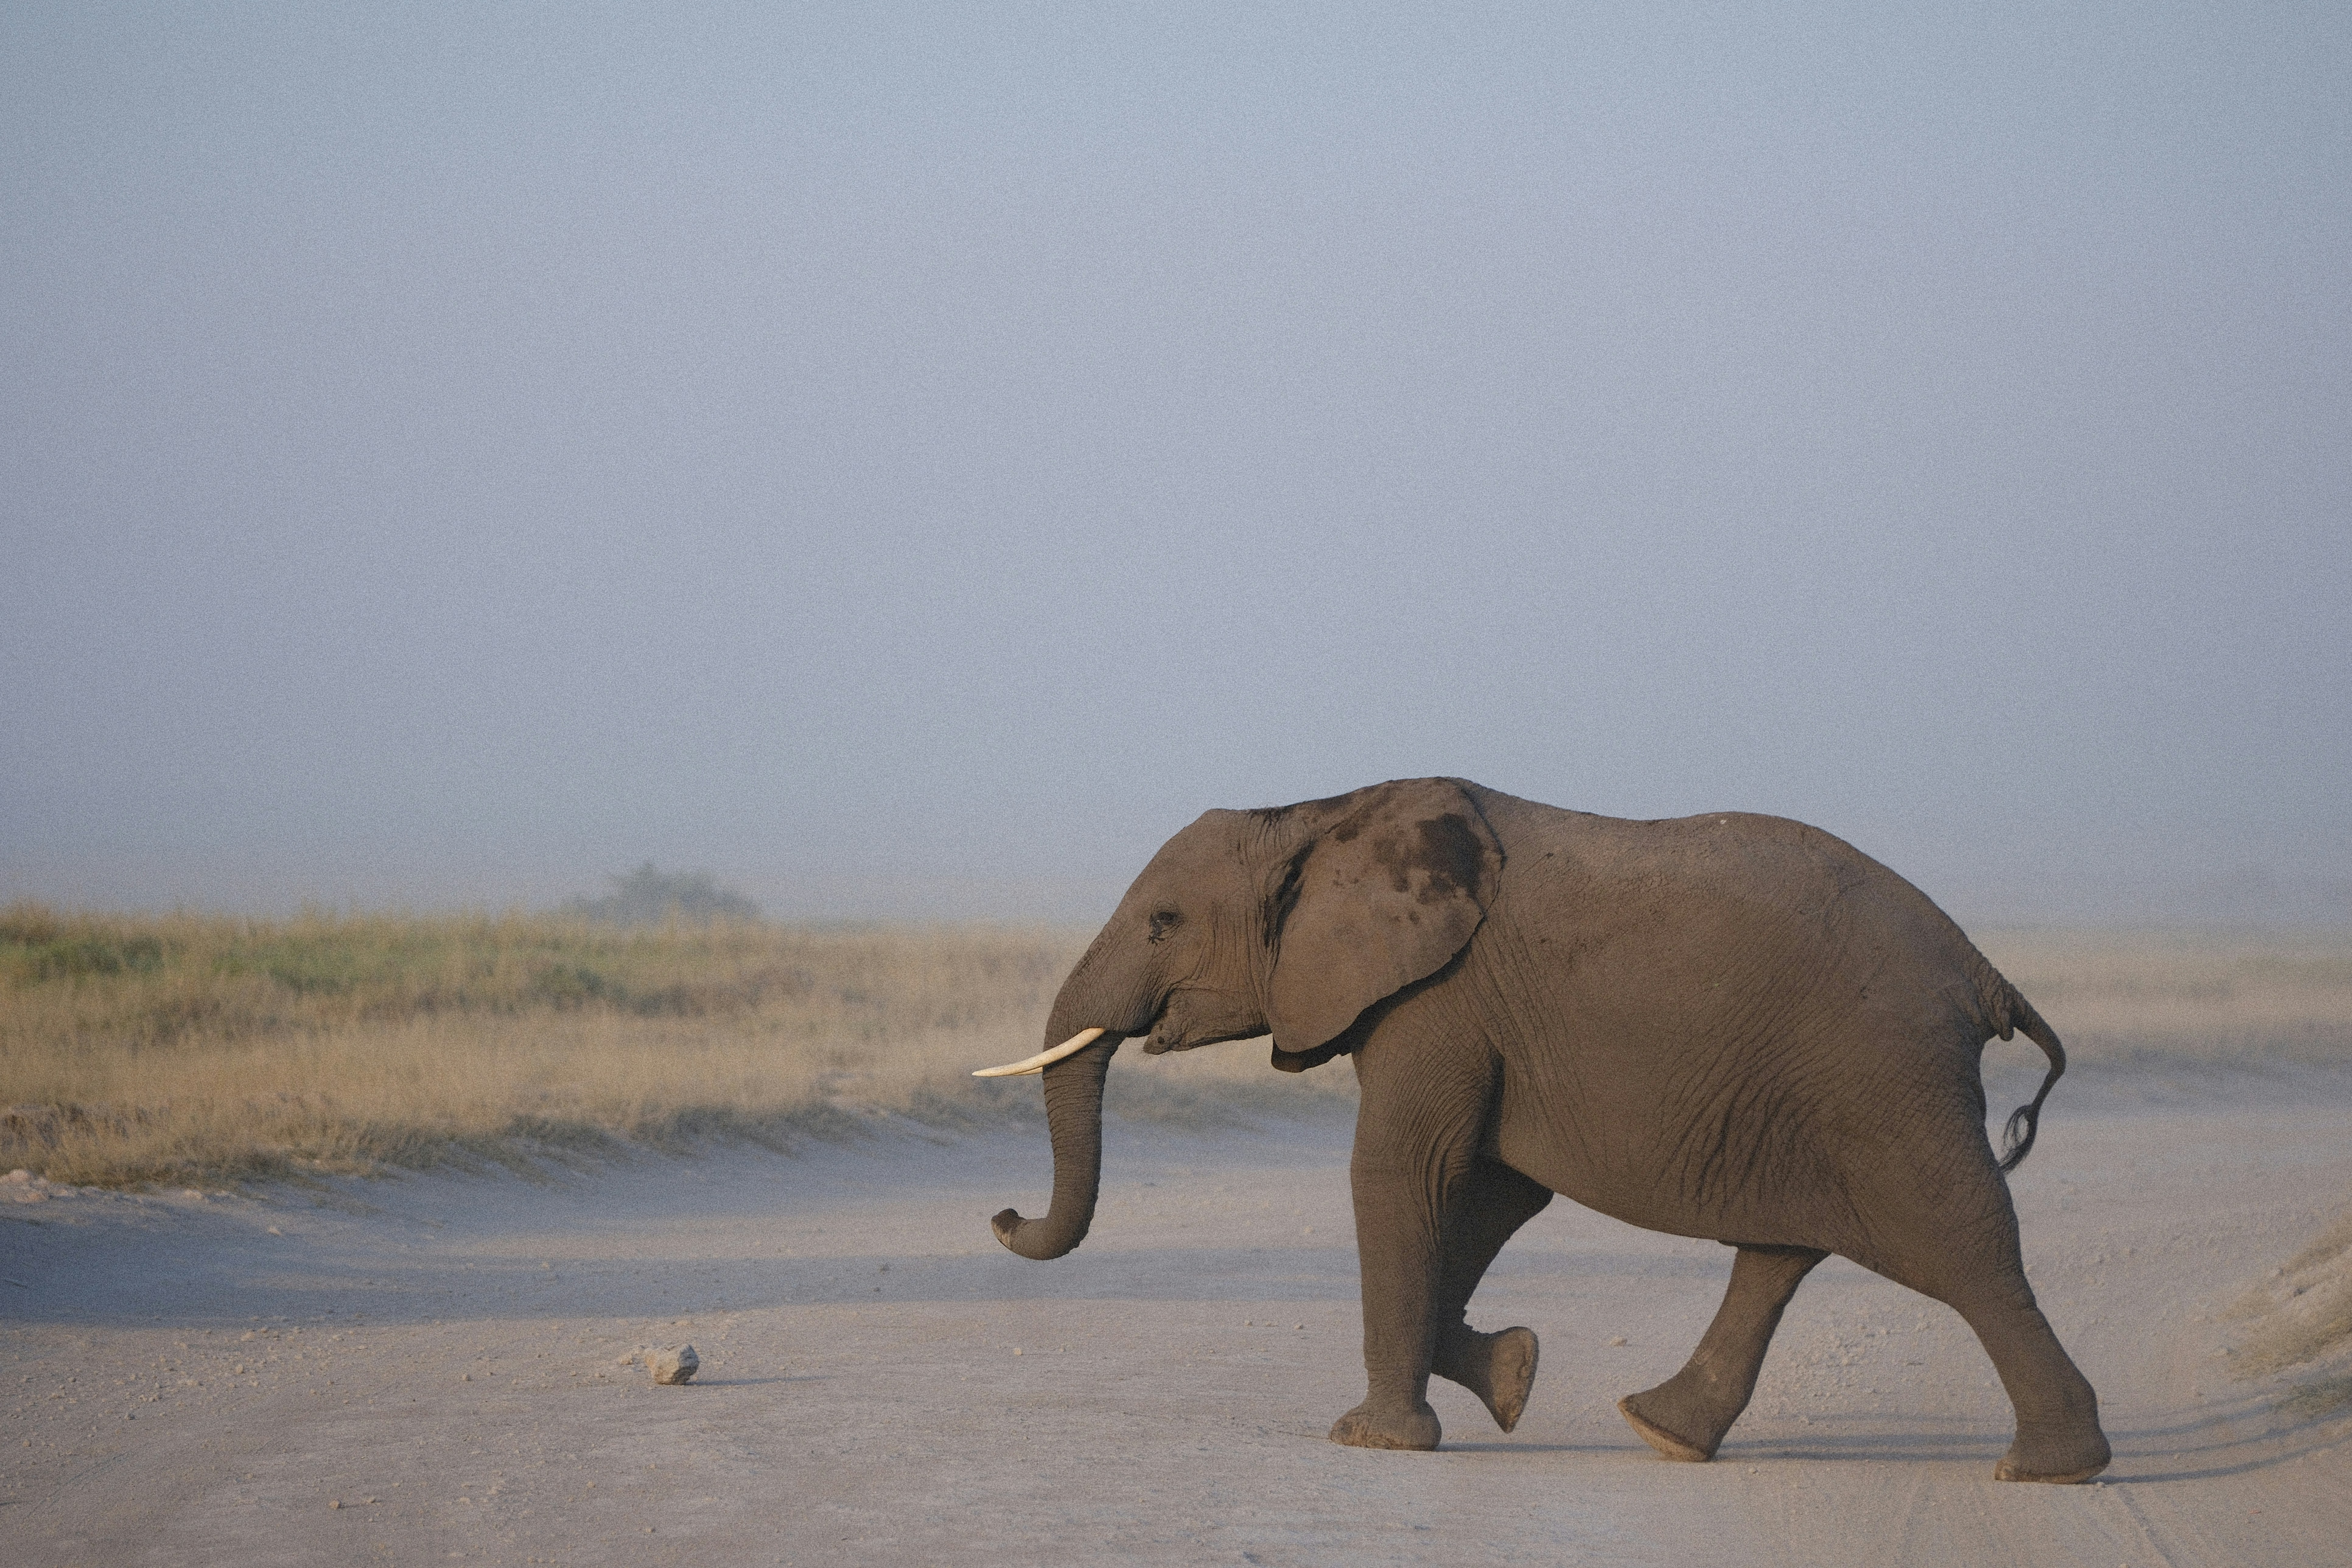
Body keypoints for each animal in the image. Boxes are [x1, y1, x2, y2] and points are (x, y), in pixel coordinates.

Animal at [977, 778, 2110, 1482]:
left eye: (1163, 923)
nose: (998, 1216)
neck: (1319, 811)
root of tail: (1982, 971)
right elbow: (1485, 1189)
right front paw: (1512, 1377)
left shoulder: (1436, 998)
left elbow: (1402, 1171)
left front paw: (1370, 1443)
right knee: (1779, 1250)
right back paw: (1659, 1431)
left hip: (1881, 1075)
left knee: (1962, 1248)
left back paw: (2047, 1470)